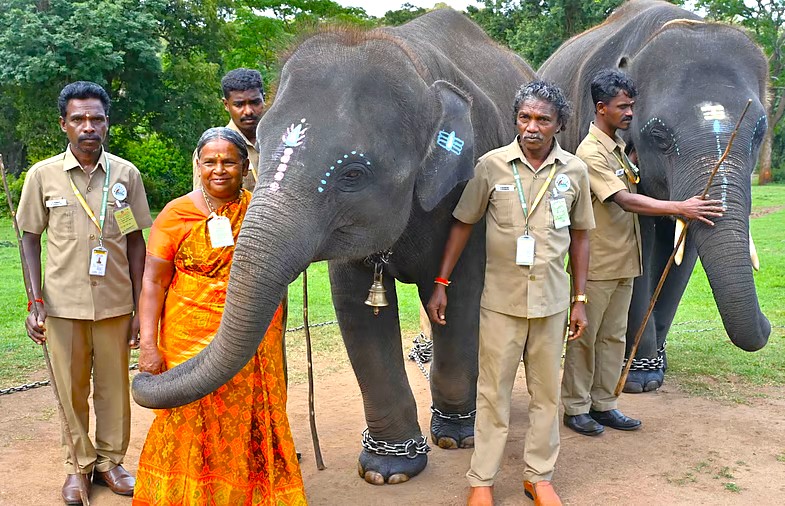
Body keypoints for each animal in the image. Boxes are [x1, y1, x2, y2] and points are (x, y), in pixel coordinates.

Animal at [132, 9, 536, 484]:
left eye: (353, 174)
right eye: (258, 148)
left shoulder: (471, 182)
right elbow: (354, 307)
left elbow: (460, 293)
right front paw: (387, 471)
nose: (144, 372)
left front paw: (457, 438)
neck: (414, 66)